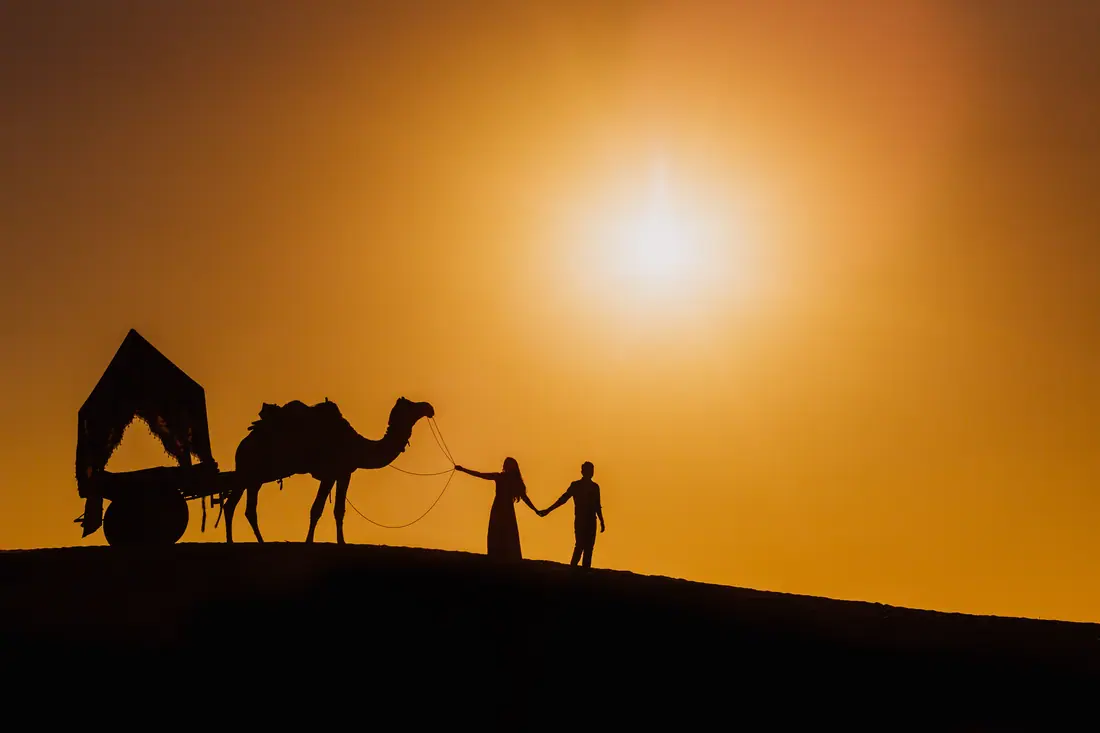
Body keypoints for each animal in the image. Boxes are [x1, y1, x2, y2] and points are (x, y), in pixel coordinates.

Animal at [221, 396, 436, 544]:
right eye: (411, 405)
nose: (429, 407)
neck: (357, 445)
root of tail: (242, 445)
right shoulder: (331, 473)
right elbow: (317, 509)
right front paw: (309, 541)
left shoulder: (344, 473)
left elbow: (338, 510)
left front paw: (341, 542)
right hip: (248, 471)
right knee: (235, 506)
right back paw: (239, 542)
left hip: (253, 478)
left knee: (241, 508)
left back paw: (251, 541)